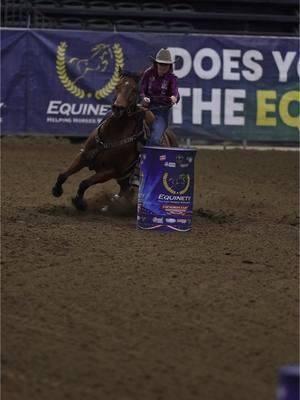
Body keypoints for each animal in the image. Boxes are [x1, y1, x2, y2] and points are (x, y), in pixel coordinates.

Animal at [51, 70, 178, 211]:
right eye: (117, 86)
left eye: (134, 89)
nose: (118, 107)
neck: (113, 134)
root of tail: (171, 135)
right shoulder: (84, 155)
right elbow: (63, 174)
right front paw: (57, 190)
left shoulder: (109, 171)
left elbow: (84, 183)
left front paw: (79, 202)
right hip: (123, 179)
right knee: (124, 191)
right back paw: (109, 205)